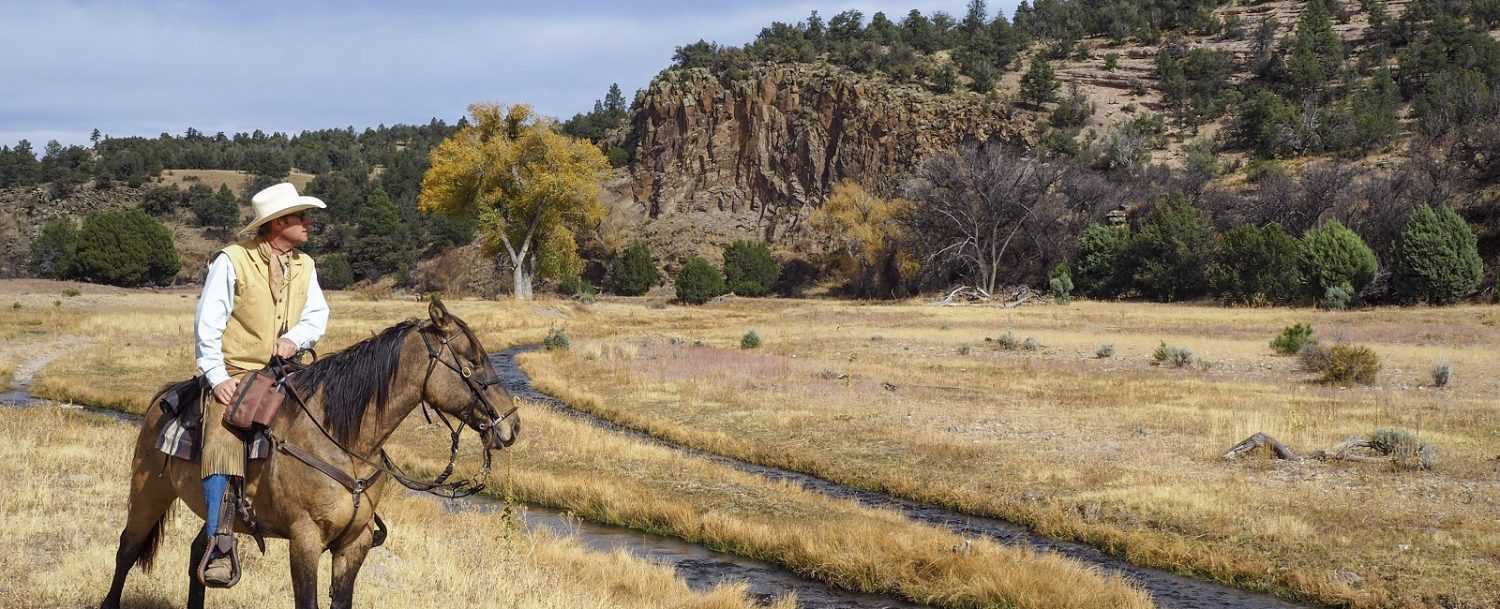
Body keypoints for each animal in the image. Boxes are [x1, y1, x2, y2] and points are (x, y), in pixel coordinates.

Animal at [99, 300, 522, 609]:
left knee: (199, 556)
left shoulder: (355, 544)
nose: (512, 425)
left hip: (213, 514)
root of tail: (165, 397)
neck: (343, 442)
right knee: (127, 549)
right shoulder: (305, 540)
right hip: (148, 493)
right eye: (471, 361)